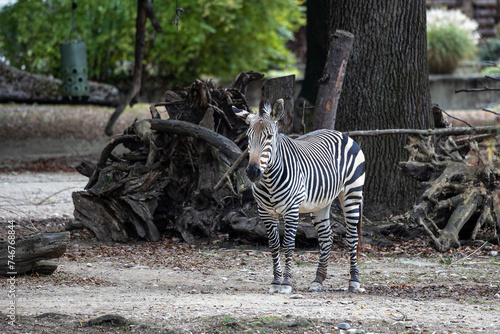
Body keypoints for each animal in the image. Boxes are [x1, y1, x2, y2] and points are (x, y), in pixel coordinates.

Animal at [232, 98, 366, 292]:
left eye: (269, 137)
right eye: (249, 137)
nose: (252, 172)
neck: (269, 180)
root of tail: (342, 134)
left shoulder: (291, 210)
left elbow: (288, 244)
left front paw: (286, 283)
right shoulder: (265, 212)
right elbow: (273, 245)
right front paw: (275, 282)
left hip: (352, 194)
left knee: (352, 236)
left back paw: (354, 281)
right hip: (321, 203)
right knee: (326, 237)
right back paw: (318, 280)